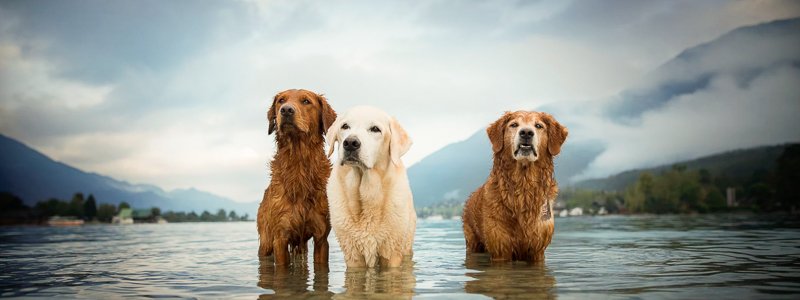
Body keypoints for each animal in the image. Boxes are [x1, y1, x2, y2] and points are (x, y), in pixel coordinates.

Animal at [258, 88, 336, 264]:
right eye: (281, 100)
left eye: (306, 101)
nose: (286, 110)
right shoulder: (280, 236)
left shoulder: (321, 236)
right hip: (265, 241)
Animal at [462, 110, 568, 262]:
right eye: (514, 125)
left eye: (538, 125)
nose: (526, 133)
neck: (523, 186)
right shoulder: (500, 247)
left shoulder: (537, 250)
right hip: (472, 241)